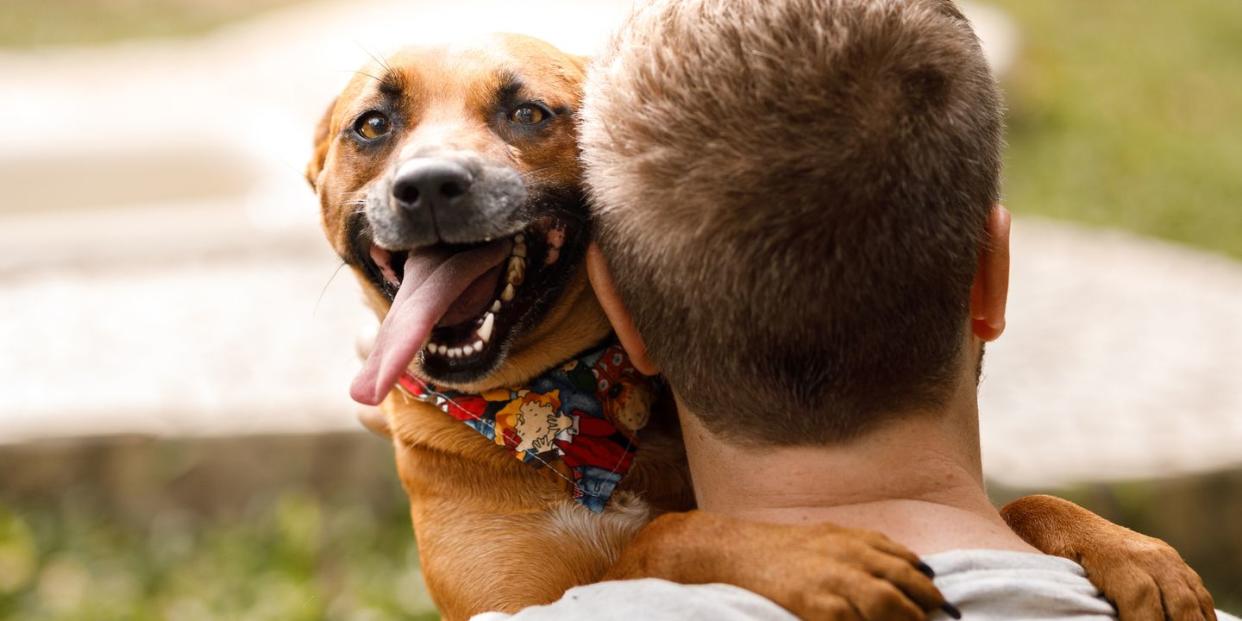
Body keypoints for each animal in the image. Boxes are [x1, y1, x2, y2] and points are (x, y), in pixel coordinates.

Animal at [308, 35, 1212, 621]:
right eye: (373, 125)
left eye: (528, 111)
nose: (429, 186)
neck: (568, 419)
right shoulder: (513, 601)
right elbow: (669, 534)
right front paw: (810, 557)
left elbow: (1027, 499)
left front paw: (1130, 549)